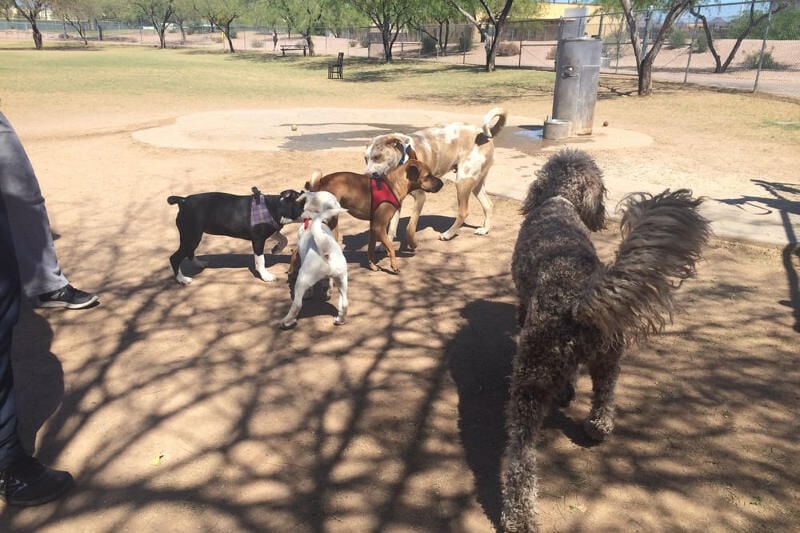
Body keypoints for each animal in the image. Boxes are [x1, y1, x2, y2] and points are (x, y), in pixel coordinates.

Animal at [166, 189, 304, 284]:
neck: (276, 207)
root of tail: (183, 201)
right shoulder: (258, 239)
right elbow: (260, 260)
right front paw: (265, 276)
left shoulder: (272, 231)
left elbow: (284, 239)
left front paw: (276, 249)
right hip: (191, 236)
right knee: (175, 258)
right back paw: (182, 279)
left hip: (192, 237)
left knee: (189, 252)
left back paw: (200, 264)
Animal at [278, 189, 346, 326]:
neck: (313, 219)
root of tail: (325, 248)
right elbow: (328, 284)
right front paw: (327, 291)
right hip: (342, 279)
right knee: (344, 303)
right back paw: (339, 320)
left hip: (302, 279)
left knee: (297, 304)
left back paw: (287, 321)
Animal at [306, 159, 444, 272]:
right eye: (428, 175)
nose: (442, 183)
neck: (393, 185)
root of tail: (320, 183)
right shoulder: (379, 227)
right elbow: (391, 247)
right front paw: (394, 266)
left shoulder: (374, 227)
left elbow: (371, 249)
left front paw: (372, 266)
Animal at [364, 106, 506, 243]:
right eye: (365, 159)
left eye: (377, 157)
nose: (366, 175)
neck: (402, 162)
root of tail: (484, 134)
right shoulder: (396, 199)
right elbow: (392, 225)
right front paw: (385, 243)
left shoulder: (420, 197)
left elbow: (410, 226)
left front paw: (410, 241)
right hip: (475, 182)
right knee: (489, 205)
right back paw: (485, 229)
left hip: (463, 180)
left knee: (463, 212)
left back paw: (448, 234)